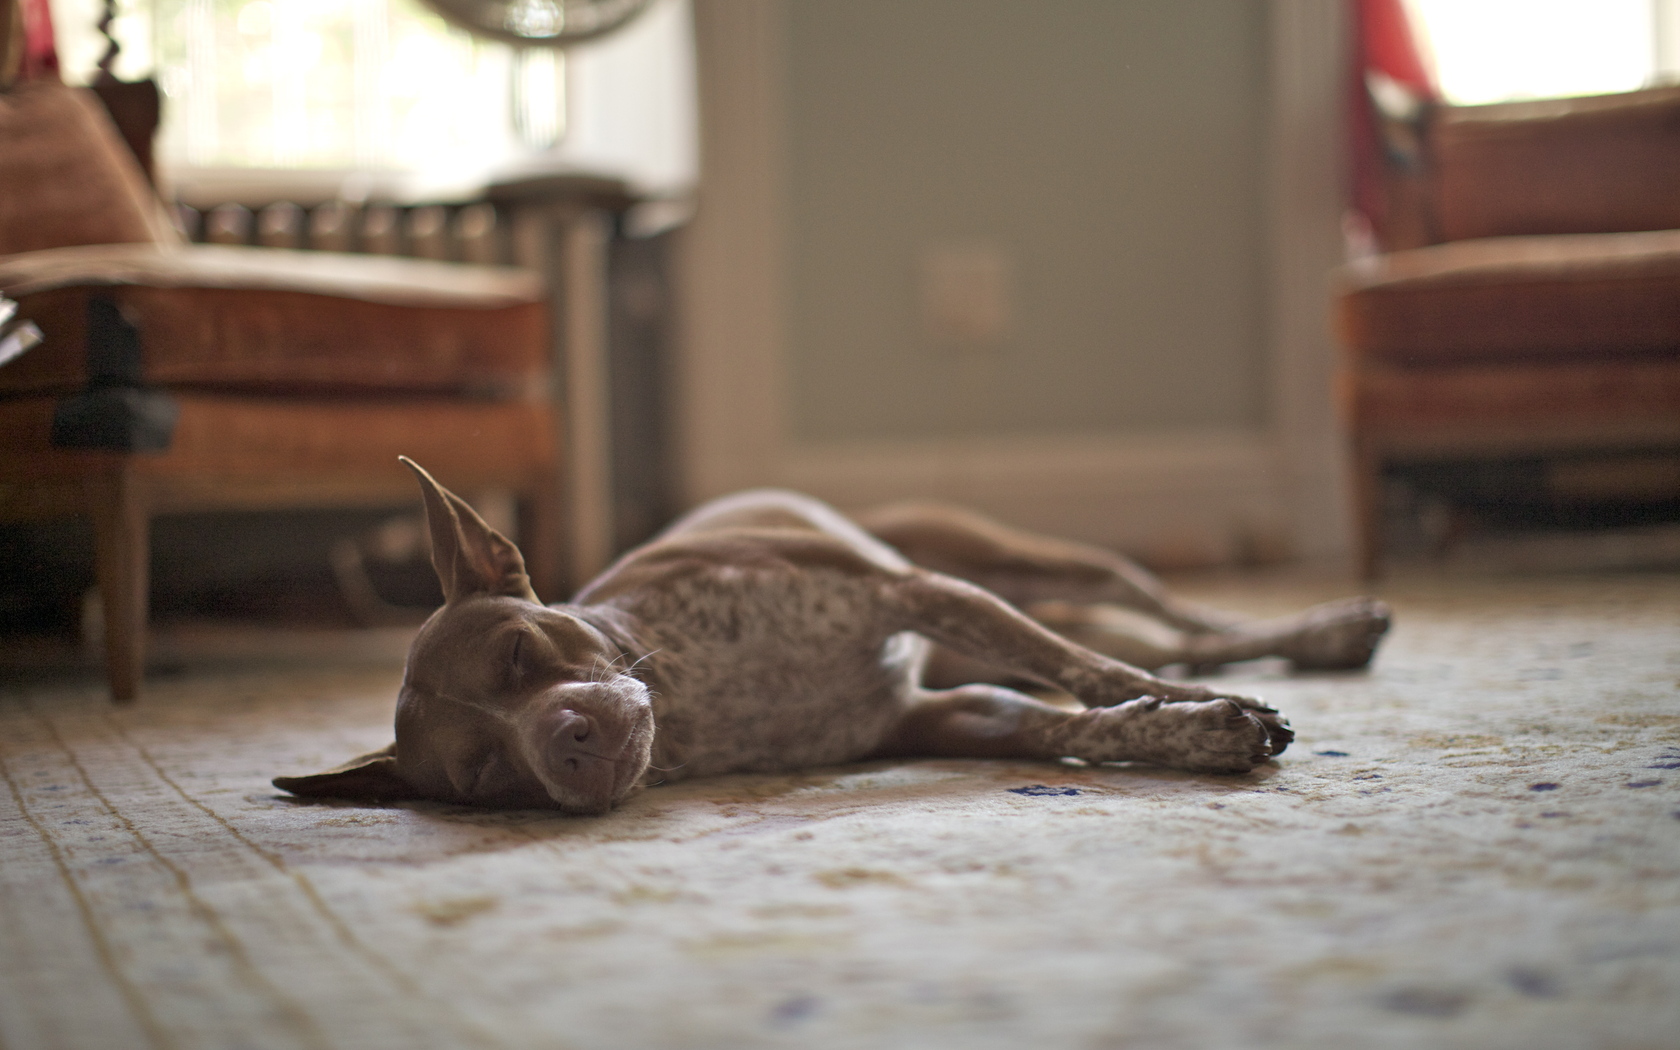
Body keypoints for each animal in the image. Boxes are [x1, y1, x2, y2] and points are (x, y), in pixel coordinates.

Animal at [268, 456, 1384, 809]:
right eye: (487, 780)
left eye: (520, 654)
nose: (569, 744)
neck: (704, 706)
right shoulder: (944, 718)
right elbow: (1089, 721)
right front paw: (1198, 732)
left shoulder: (914, 596)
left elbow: (1096, 678)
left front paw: (1213, 716)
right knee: (1167, 643)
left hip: (1021, 564)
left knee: (1174, 618)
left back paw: (1331, 627)